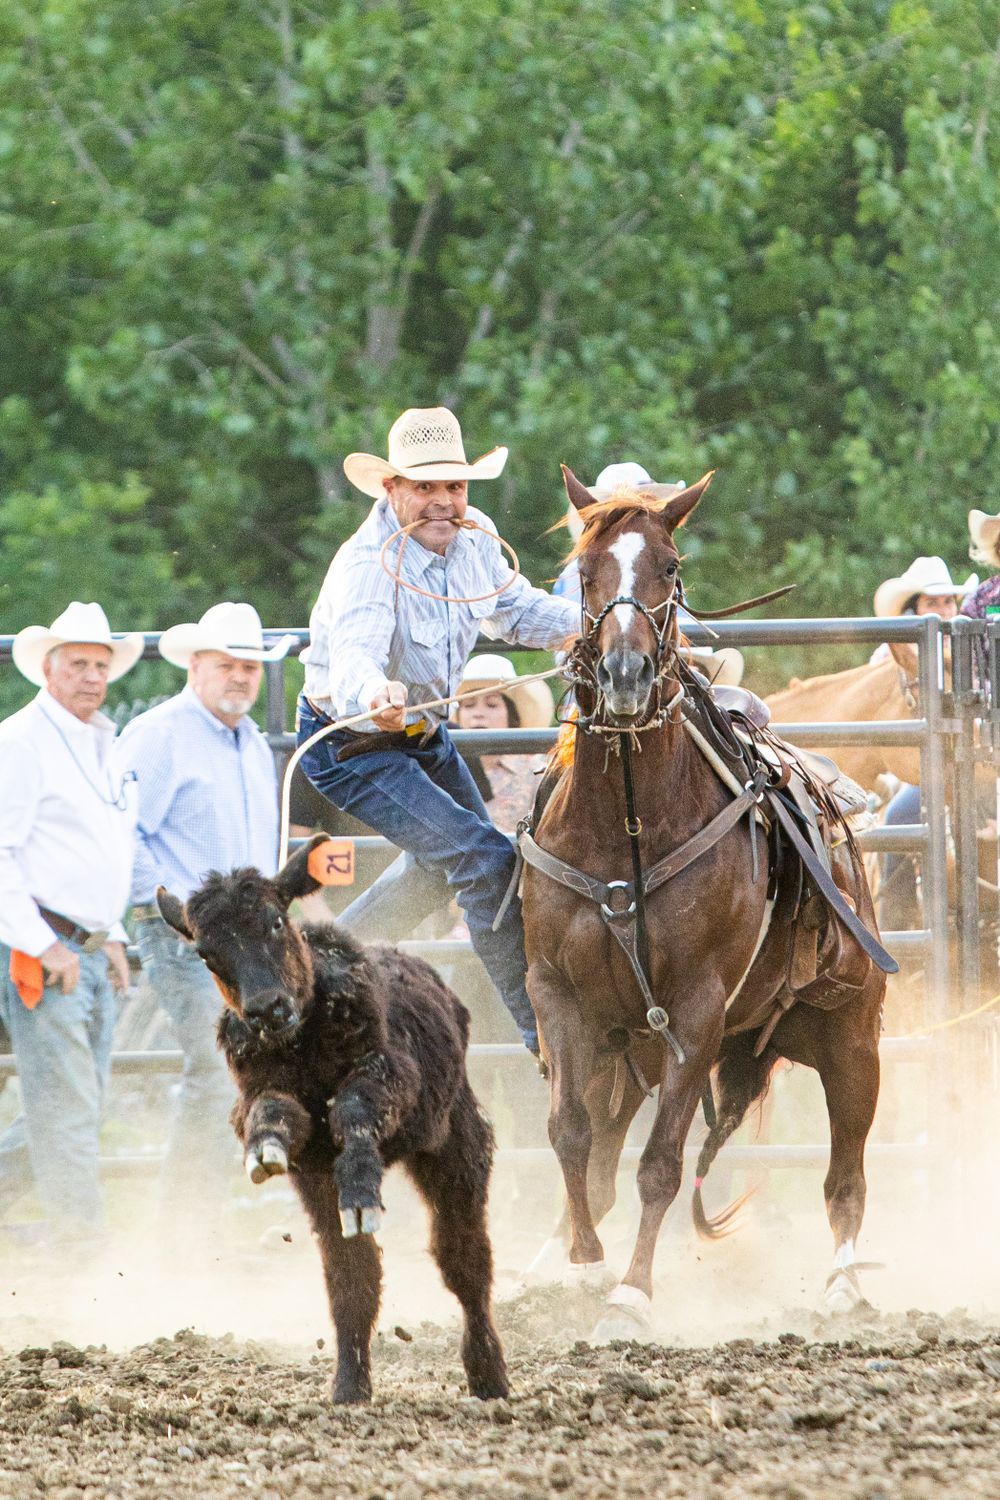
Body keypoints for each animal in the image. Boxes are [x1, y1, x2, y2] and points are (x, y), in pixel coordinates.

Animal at [521, 468, 886, 1335]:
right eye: (584, 571)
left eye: (670, 566)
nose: (623, 674)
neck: (623, 824)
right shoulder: (557, 995)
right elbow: (570, 1133)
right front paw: (586, 1265)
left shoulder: (694, 1011)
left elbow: (660, 1164)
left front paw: (631, 1293)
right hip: (634, 1050)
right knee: (602, 1147)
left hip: (851, 1041)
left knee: (845, 1177)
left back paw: (844, 1283)